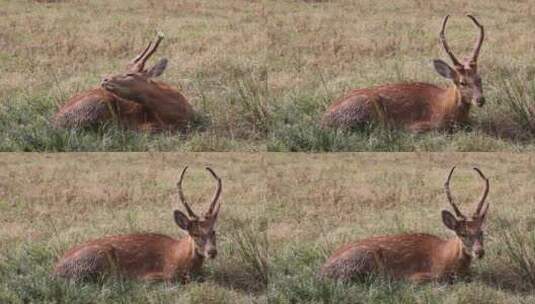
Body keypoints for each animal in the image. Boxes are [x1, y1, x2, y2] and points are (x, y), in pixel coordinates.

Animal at [52, 166, 224, 282]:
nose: (212, 251)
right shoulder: (155, 275)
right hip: (99, 257)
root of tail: (55, 270)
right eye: (195, 234)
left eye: (214, 231)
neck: (179, 256)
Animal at [320, 14, 488, 132]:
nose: (480, 99)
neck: (445, 105)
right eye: (462, 82)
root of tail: (323, 119)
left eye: (480, 78)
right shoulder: (422, 125)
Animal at [320, 166, 492, 282]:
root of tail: (322, 271)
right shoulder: (418, 276)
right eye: (462, 234)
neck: (445, 255)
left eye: (481, 232)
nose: (480, 252)